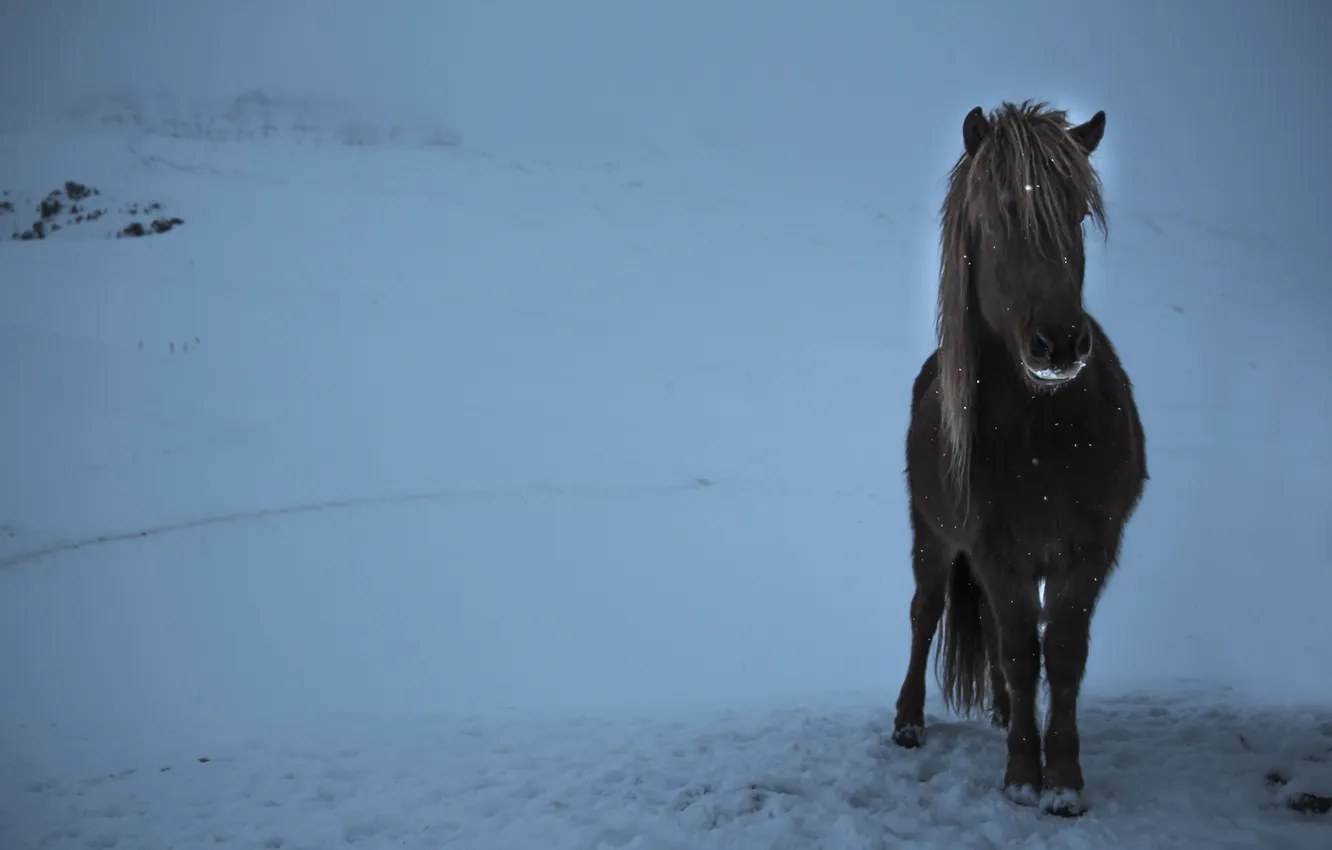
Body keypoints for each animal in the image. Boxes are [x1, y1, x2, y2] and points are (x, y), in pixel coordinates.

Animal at [889, 101, 1150, 820]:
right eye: (997, 217)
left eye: (1079, 213)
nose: (1057, 343)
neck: (1042, 431)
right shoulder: (996, 552)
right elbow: (1017, 652)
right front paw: (1022, 777)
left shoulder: (1088, 550)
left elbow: (1058, 656)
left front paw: (1061, 780)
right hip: (932, 539)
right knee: (927, 614)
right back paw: (908, 721)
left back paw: (1009, 714)